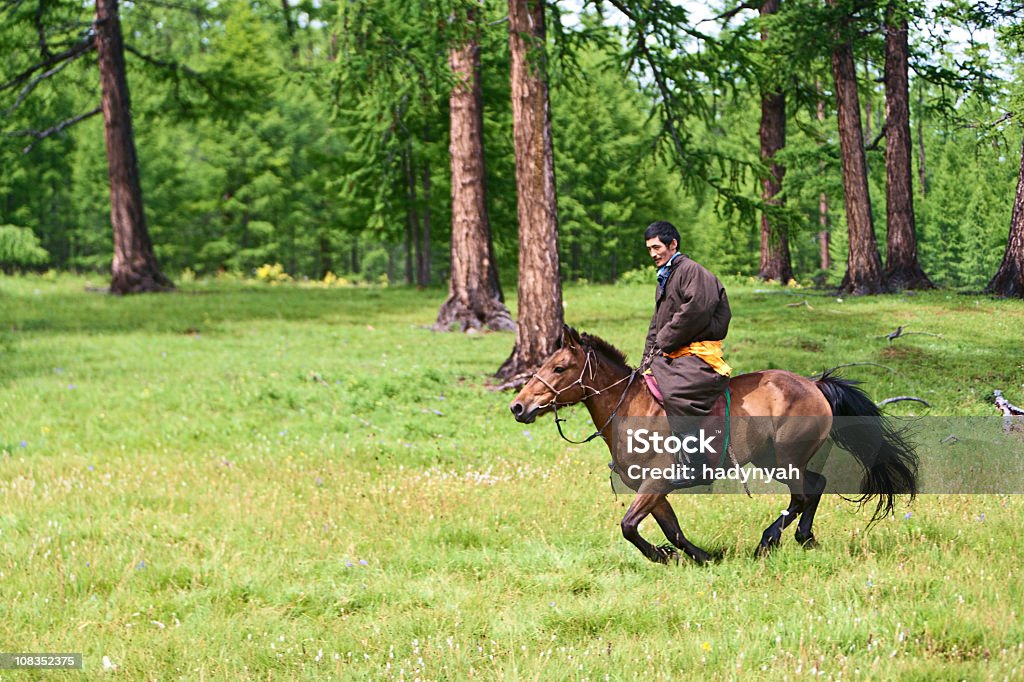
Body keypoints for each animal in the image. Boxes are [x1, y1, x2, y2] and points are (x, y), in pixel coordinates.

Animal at [507, 325, 917, 561]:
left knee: (803, 495)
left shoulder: (656, 482)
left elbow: (628, 526)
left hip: (786, 459)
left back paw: (768, 541)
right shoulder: (651, 490)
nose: (518, 406)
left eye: (559, 368)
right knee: (815, 488)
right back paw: (804, 538)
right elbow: (669, 529)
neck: (631, 407)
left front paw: (663, 556)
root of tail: (815, 385)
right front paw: (699, 557)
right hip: (775, 461)